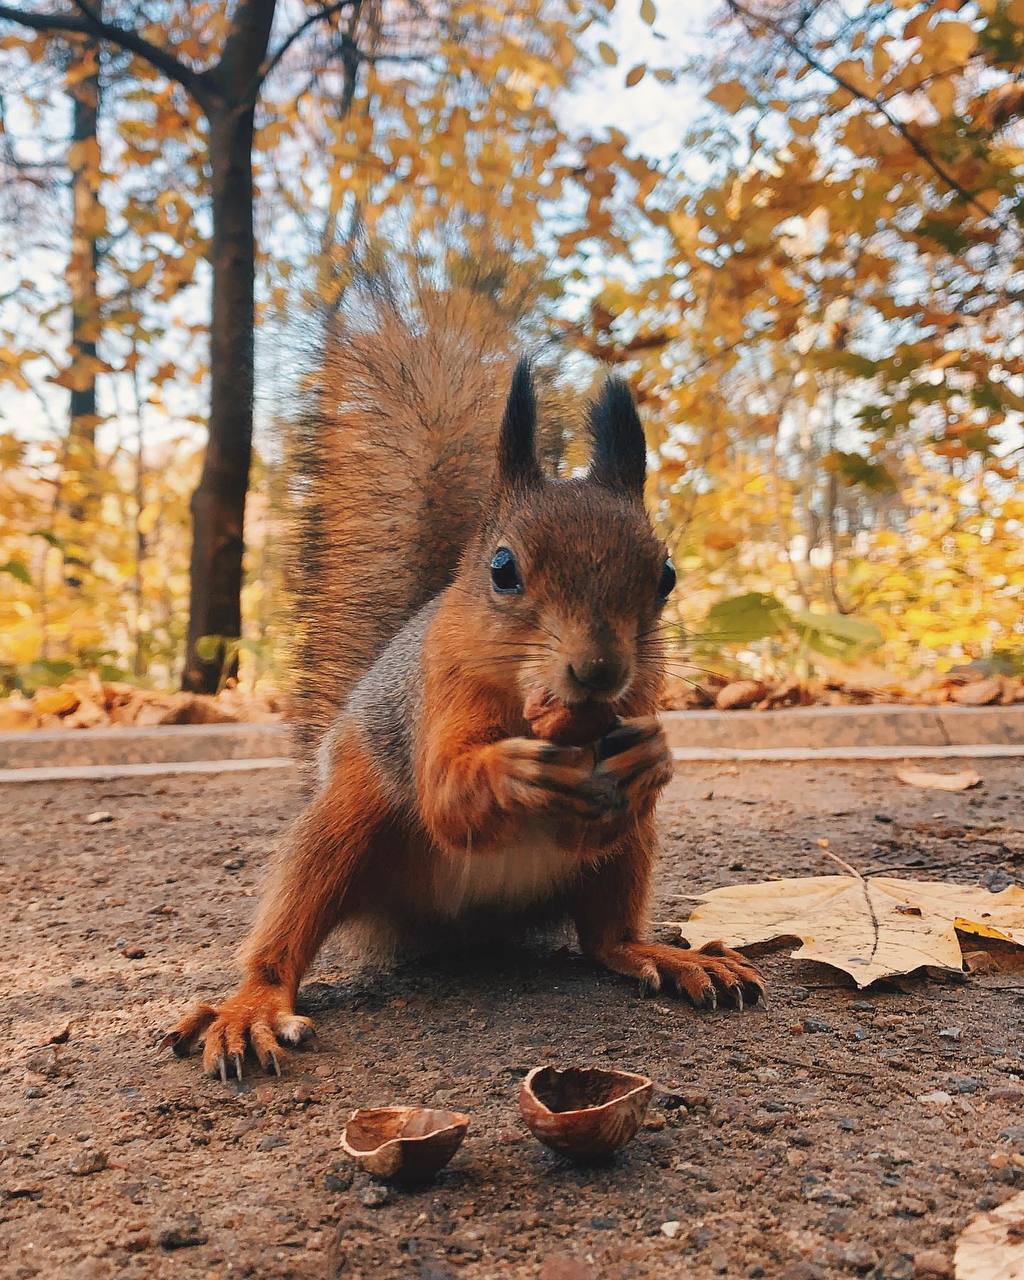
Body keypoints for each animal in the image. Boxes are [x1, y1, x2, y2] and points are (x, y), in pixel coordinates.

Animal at [166, 280, 757, 1080]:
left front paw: (652, 756)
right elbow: (448, 796)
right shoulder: (442, 690)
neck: (533, 702)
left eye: (665, 576)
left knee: (606, 937)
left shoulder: (635, 701)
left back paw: (665, 954)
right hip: (345, 823)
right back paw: (251, 1006)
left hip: (627, 856)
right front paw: (513, 772)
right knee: (289, 927)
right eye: (503, 569)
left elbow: (618, 786)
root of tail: (462, 930)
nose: (599, 670)